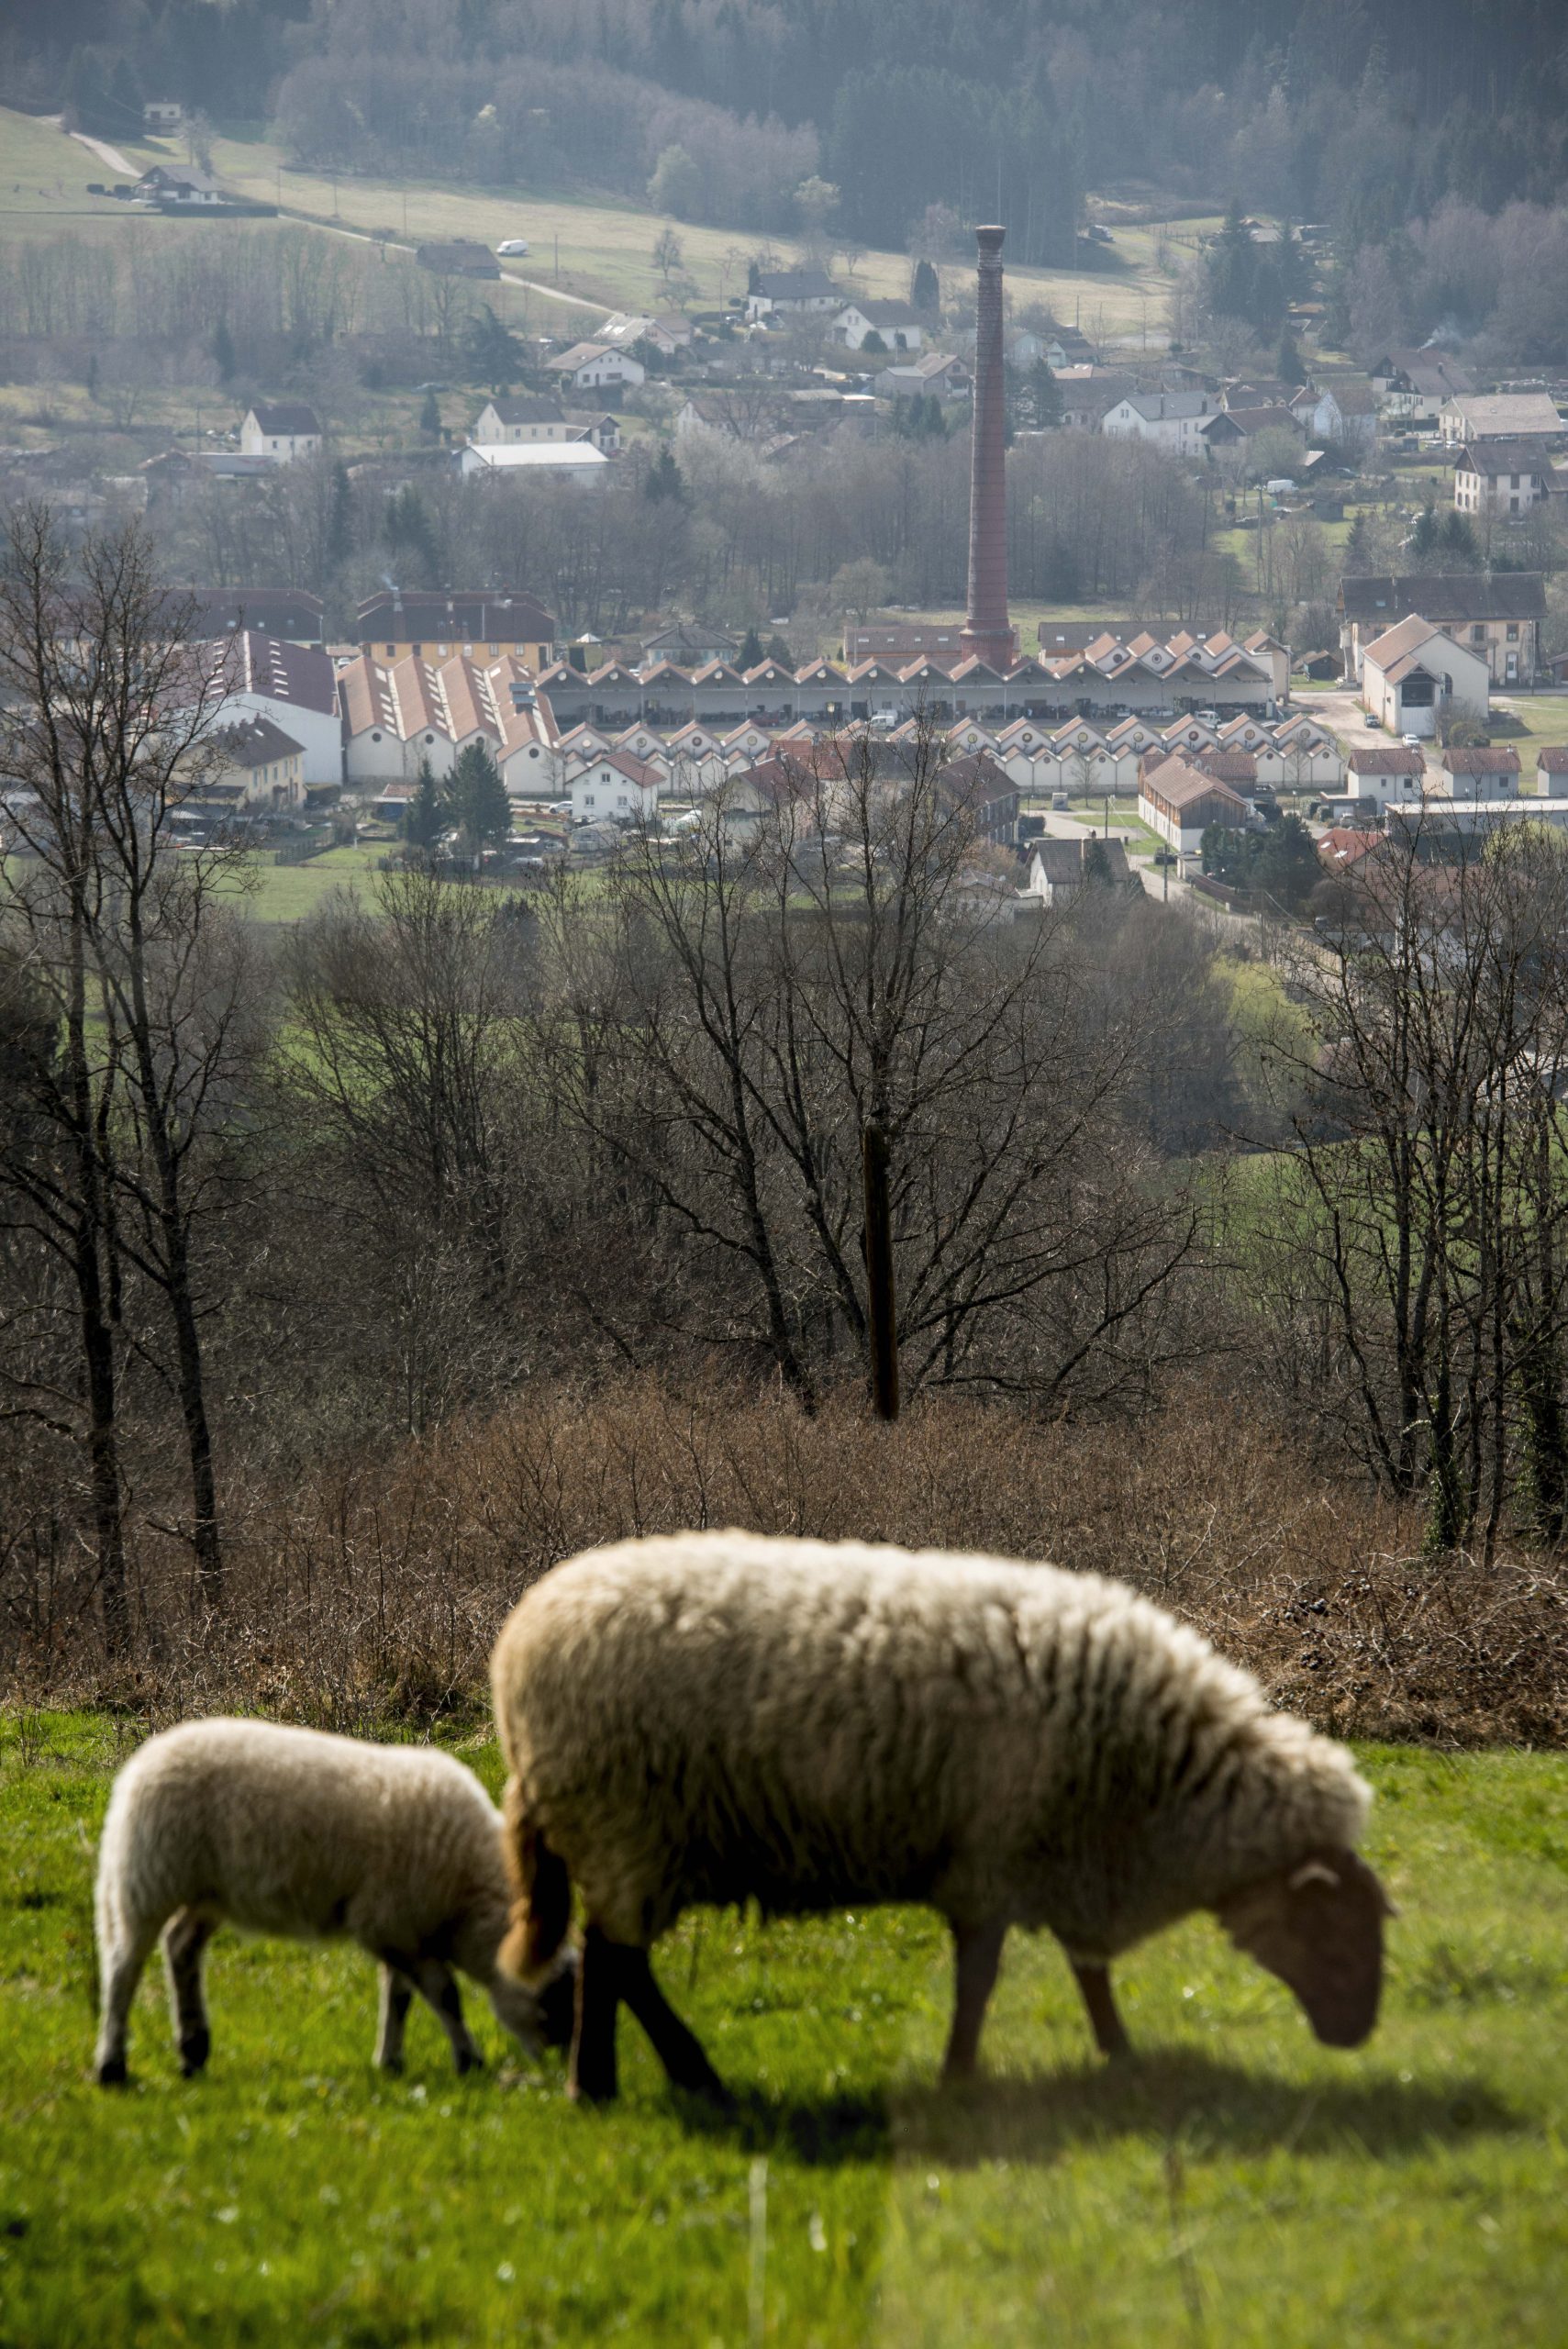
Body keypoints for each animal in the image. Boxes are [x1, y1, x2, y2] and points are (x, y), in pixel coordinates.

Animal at [93, 1719, 575, 2086]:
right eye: (552, 2001)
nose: (559, 2067)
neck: (466, 1900)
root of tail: (143, 1761)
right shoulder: (389, 1922)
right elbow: (446, 1994)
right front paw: (468, 2060)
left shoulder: (398, 1929)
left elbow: (399, 1996)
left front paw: (391, 2061)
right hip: (150, 1879)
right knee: (124, 1968)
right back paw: (112, 2067)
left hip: (208, 1892)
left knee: (180, 1947)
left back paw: (193, 2052)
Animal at [489, 1531, 1392, 2104]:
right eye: (1335, 1927)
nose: (1357, 2036)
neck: (1153, 1786)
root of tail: (520, 1640)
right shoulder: (994, 1858)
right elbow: (980, 1978)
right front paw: (959, 2073)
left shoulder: (1061, 1854)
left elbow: (1085, 1969)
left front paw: (1119, 2053)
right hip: (625, 1828)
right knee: (613, 1960)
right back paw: (614, 2083)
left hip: (628, 1837)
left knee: (615, 1961)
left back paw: (661, 2078)